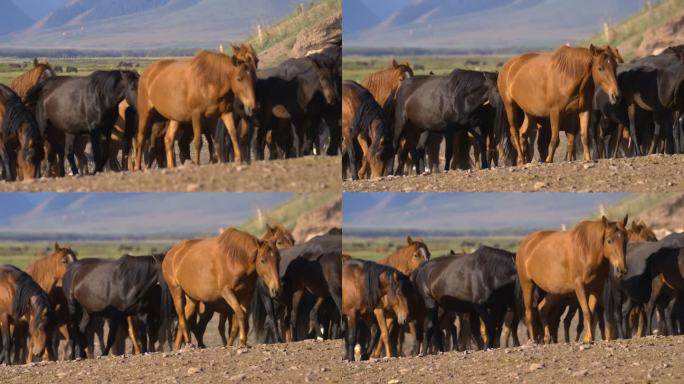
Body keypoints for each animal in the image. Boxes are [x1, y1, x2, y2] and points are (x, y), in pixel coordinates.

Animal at [520, 214, 624, 344]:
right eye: (609, 240)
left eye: (626, 239)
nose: (621, 269)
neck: (586, 250)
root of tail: (526, 243)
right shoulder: (580, 287)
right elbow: (587, 312)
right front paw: (589, 338)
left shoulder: (597, 288)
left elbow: (591, 312)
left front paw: (587, 338)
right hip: (527, 284)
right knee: (529, 312)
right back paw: (533, 340)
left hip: (553, 292)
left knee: (543, 308)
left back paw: (547, 338)